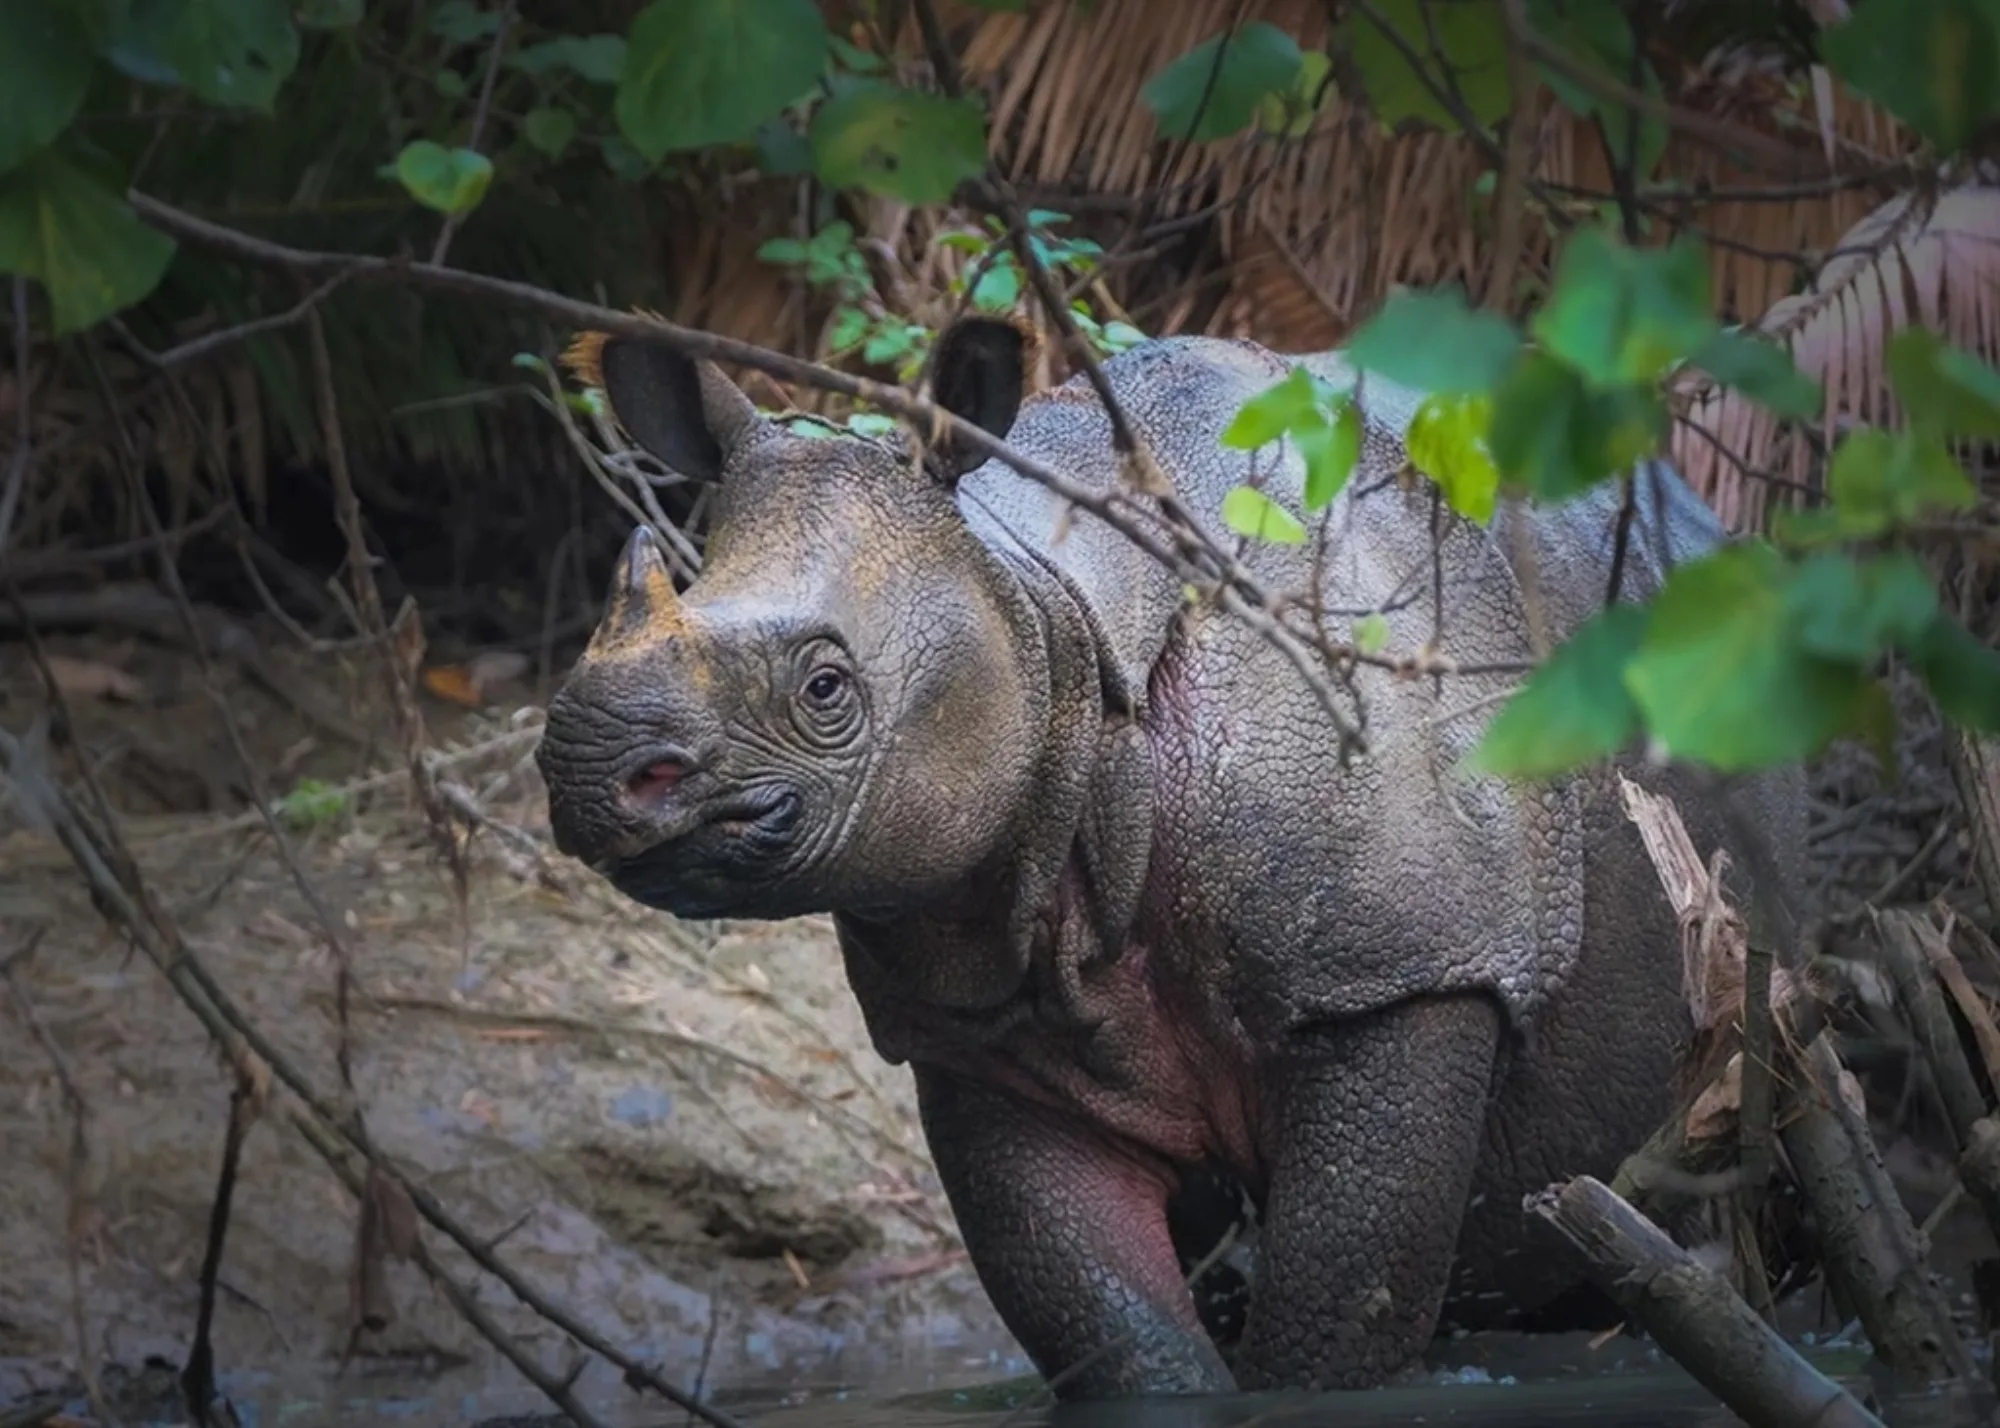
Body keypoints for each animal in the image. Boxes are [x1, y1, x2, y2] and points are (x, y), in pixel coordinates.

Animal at [534, 315, 1808, 1398]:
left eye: (825, 689)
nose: (590, 772)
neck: (1041, 622)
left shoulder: (1405, 967)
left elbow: (1334, 1325)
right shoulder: (982, 1020)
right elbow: (1117, 1339)